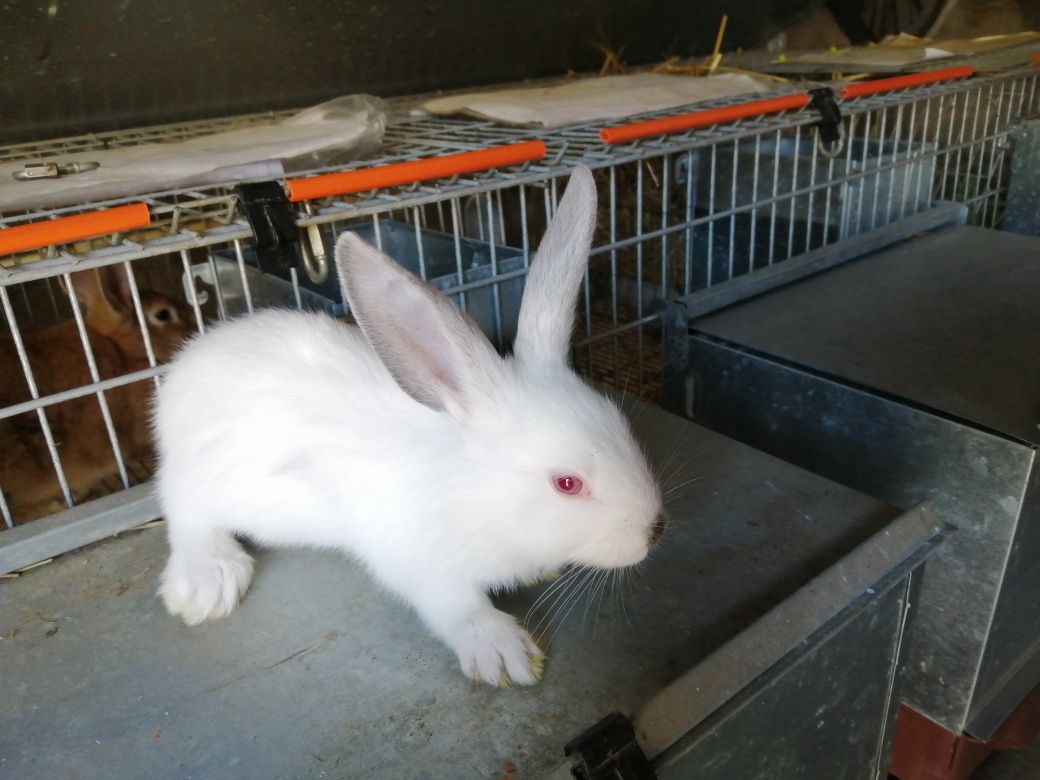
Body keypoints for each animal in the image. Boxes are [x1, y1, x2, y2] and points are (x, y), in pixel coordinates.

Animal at [152, 165, 661, 682]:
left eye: (621, 425)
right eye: (567, 483)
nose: (654, 531)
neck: (471, 490)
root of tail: (185, 369)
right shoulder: (419, 562)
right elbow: (456, 606)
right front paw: (504, 655)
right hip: (204, 481)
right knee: (183, 510)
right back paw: (208, 583)